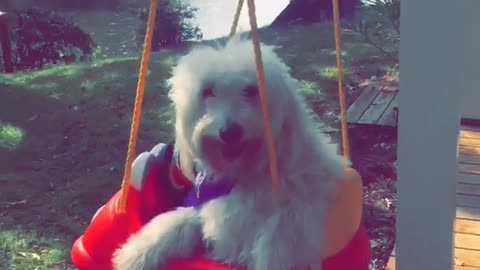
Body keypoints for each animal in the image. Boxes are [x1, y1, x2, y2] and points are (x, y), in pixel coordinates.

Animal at [113, 37, 344, 270]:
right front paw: (136, 254)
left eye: (251, 90)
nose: (230, 132)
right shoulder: (207, 212)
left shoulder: (292, 221)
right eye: (207, 91)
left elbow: (278, 245)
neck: (245, 173)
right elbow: (177, 221)